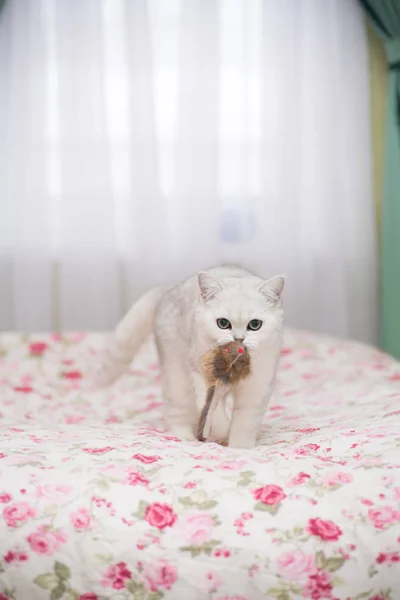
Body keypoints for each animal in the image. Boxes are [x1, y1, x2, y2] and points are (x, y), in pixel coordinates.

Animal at [97, 264, 284, 448]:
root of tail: (170, 289)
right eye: (223, 323)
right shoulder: (203, 377)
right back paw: (184, 437)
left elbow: (244, 424)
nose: (238, 339)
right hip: (177, 376)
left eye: (255, 325)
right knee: (177, 410)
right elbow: (214, 414)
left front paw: (239, 449)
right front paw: (222, 433)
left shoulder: (257, 388)